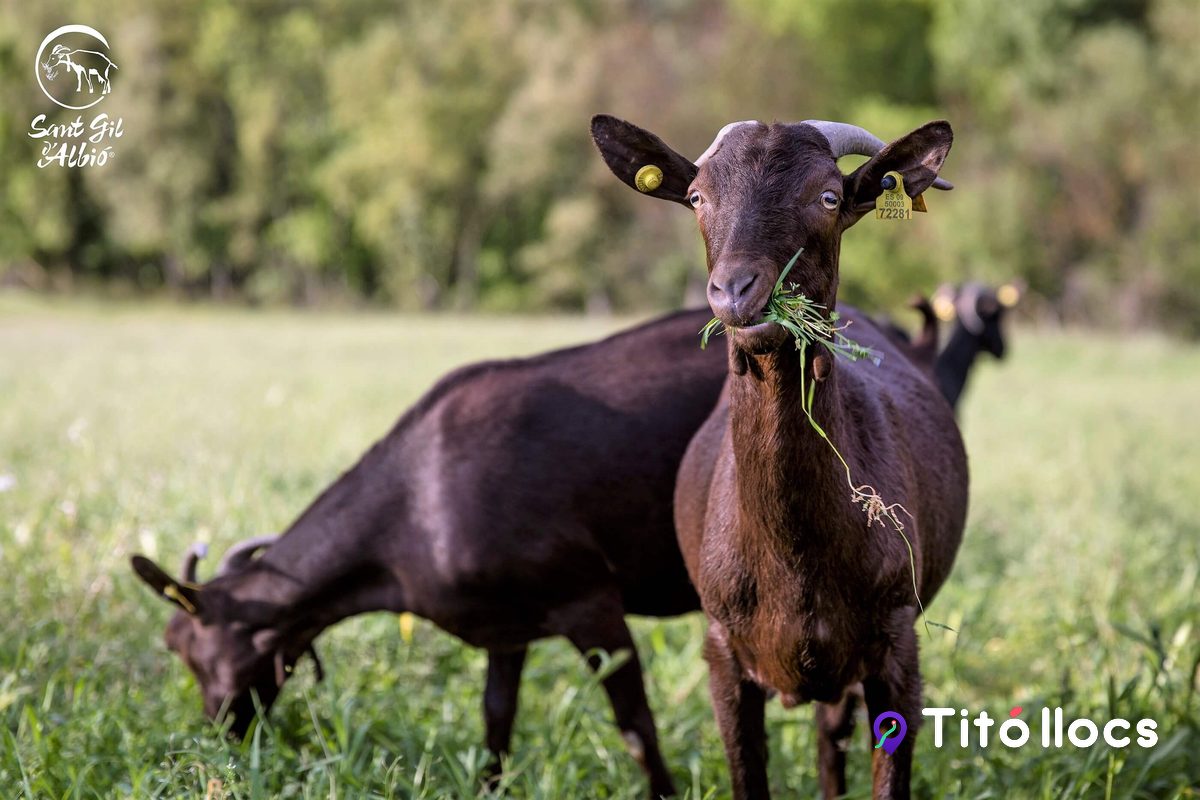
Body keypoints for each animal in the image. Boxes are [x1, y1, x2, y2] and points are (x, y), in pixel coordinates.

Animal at [132, 308, 727, 798]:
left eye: (188, 650)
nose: (219, 736)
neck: (415, 507)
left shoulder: (590, 601)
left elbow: (635, 727)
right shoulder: (506, 625)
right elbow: (496, 719)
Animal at [593, 115, 969, 799]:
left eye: (829, 196)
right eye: (697, 197)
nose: (737, 292)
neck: (795, 561)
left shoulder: (896, 646)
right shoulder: (723, 654)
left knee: (830, 736)